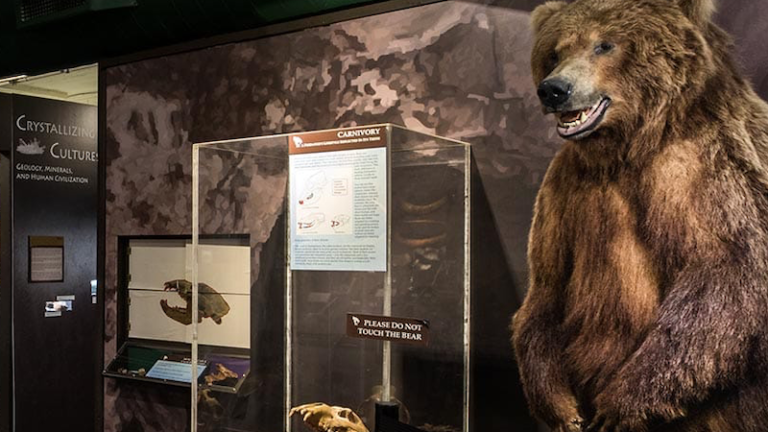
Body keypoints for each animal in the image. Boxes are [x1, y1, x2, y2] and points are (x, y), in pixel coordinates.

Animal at [510, 0, 768, 432]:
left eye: (604, 44)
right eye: (556, 51)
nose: (554, 89)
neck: (628, 147)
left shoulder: (700, 170)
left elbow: (727, 269)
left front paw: (621, 407)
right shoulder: (563, 191)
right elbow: (548, 284)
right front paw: (562, 409)